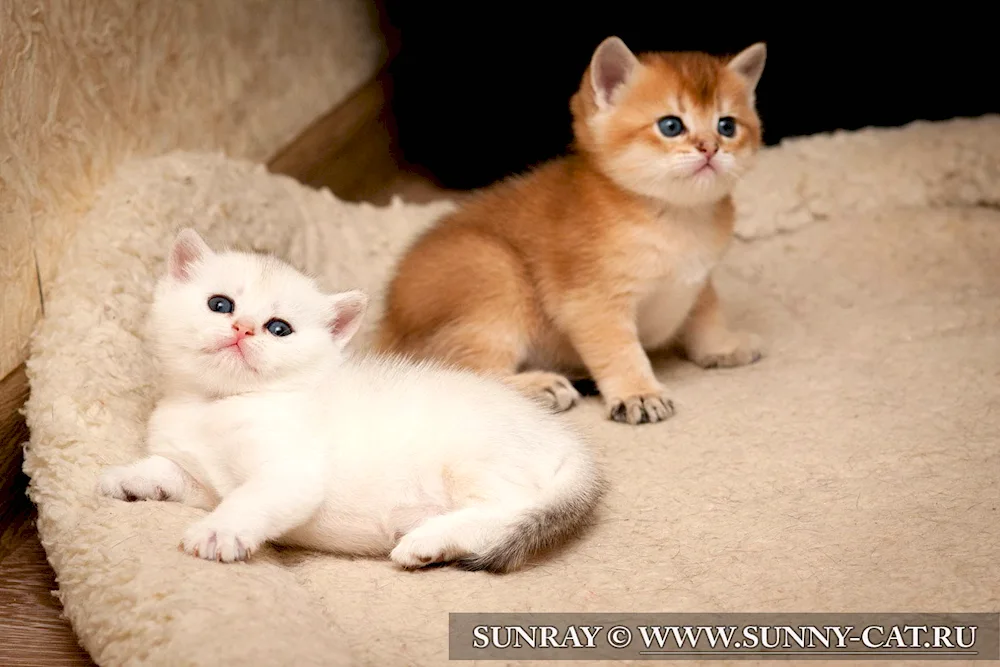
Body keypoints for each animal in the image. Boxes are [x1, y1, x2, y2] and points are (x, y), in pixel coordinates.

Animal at [99, 230, 600, 576]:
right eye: (220, 304)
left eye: (279, 328)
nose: (243, 328)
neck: (215, 403)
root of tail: (569, 442)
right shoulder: (201, 481)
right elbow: (166, 469)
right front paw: (126, 477)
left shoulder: (290, 473)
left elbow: (248, 500)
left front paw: (218, 531)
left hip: (474, 458)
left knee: (511, 508)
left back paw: (428, 539)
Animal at [378, 37, 768, 422]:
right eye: (671, 126)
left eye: (727, 126)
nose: (710, 148)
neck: (675, 216)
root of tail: (386, 329)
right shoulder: (591, 303)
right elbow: (620, 350)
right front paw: (638, 393)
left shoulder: (700, 279)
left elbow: (706, 313)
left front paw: (721, 346)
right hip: (493, 268)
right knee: (464, 375)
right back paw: (539, 387)